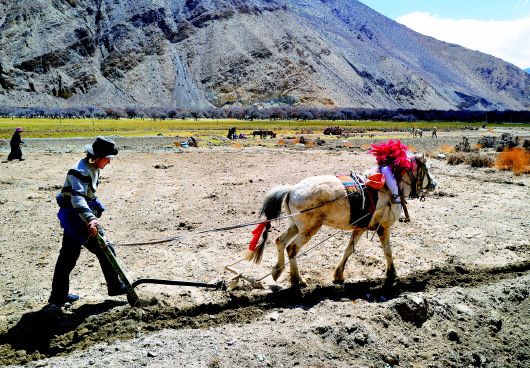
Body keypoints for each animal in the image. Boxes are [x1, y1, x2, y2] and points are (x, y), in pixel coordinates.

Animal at [246, 152, 434, 288]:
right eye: (427, 168)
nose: (434, 184)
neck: (388, 187)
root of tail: (292, 189)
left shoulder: (360, 228)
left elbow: (348, 250)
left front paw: (339, 275)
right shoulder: (384, 228)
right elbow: (388, 251)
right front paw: (392, 274)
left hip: (296, 226)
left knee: (280, 241)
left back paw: (277, 271)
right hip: (309, 229)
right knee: (292, 248)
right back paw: (297, 280)